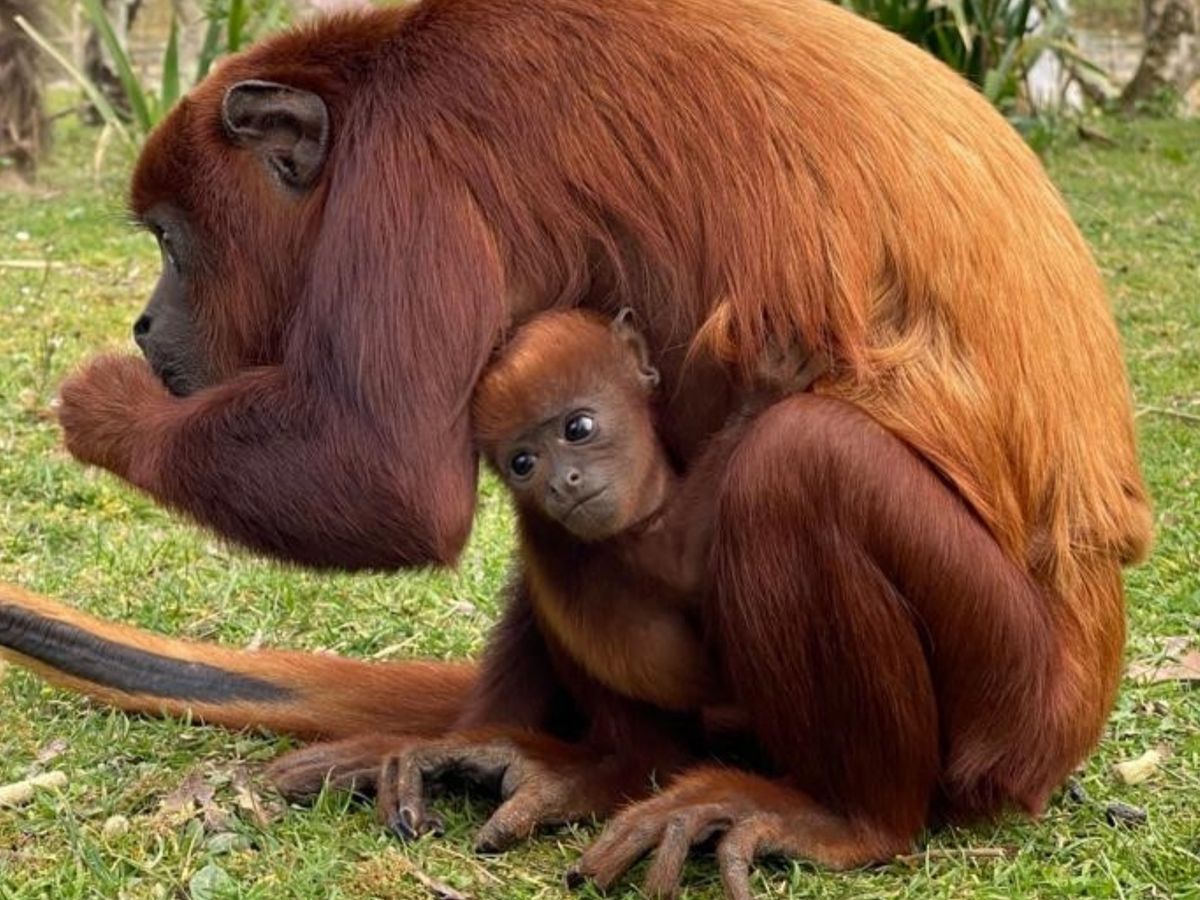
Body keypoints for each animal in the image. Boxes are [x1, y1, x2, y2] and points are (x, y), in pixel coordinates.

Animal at [0, 0, 1142, 897]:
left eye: (170, 241)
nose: (148, 323)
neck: (369, 86)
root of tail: (1080, 691)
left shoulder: (409, 170)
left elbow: (387, 477)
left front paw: (106, 407)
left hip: (1006, 702)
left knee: (801, 463)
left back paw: (844, 816)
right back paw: (538, 754)